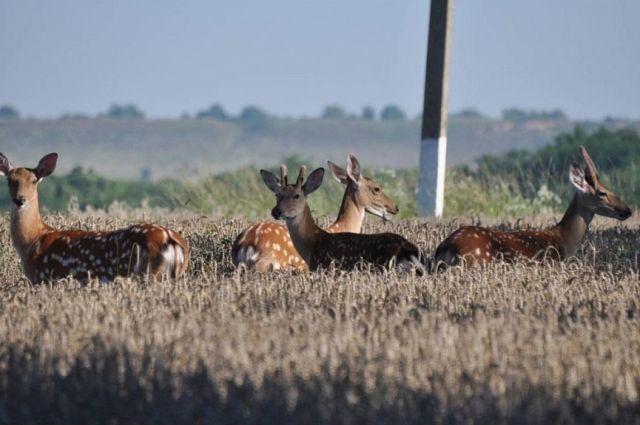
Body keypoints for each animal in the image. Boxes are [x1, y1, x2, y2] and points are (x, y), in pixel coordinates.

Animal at [0, 151, 190, 284]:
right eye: (10, 180)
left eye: (34, 180)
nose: (19, 200)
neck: (33, 240)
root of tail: (170, 238)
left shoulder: (43, 278)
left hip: (147, 274)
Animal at [260, 162, 424, 272]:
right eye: (277, 195)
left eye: (297, 195)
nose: (276, 211)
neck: (314, 242)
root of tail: (408, 249)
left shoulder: (324, 266)